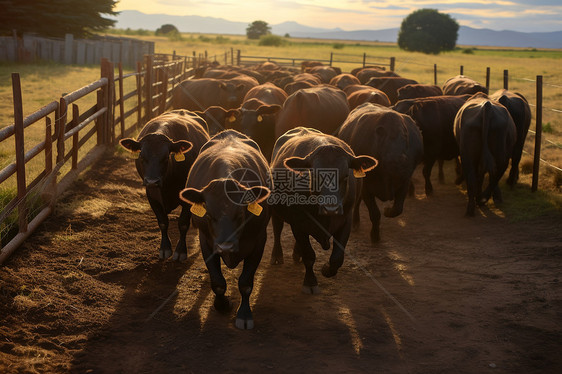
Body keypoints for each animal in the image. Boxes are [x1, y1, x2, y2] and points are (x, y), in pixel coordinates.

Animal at [268, 127, 376, 294]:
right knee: (277, 229)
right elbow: (309, 255)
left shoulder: (346, 220)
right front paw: (310, 282)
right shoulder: (298, 222)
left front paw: (326, 269)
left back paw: (296, 254)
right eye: (316, 176)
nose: (331, 208)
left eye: (346, 176)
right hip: (276, 211)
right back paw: (277, 256)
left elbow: (338, 257)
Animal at [336, 102, 420, 243]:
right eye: (388, 141)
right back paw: (355, 223)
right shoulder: (366, 187)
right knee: (357, 203)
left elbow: (397, 209)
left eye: (405, 140)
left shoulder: (405, 182)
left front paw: (387, 211)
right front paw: (375, 236)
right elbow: (375, 213)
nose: (401, 161)